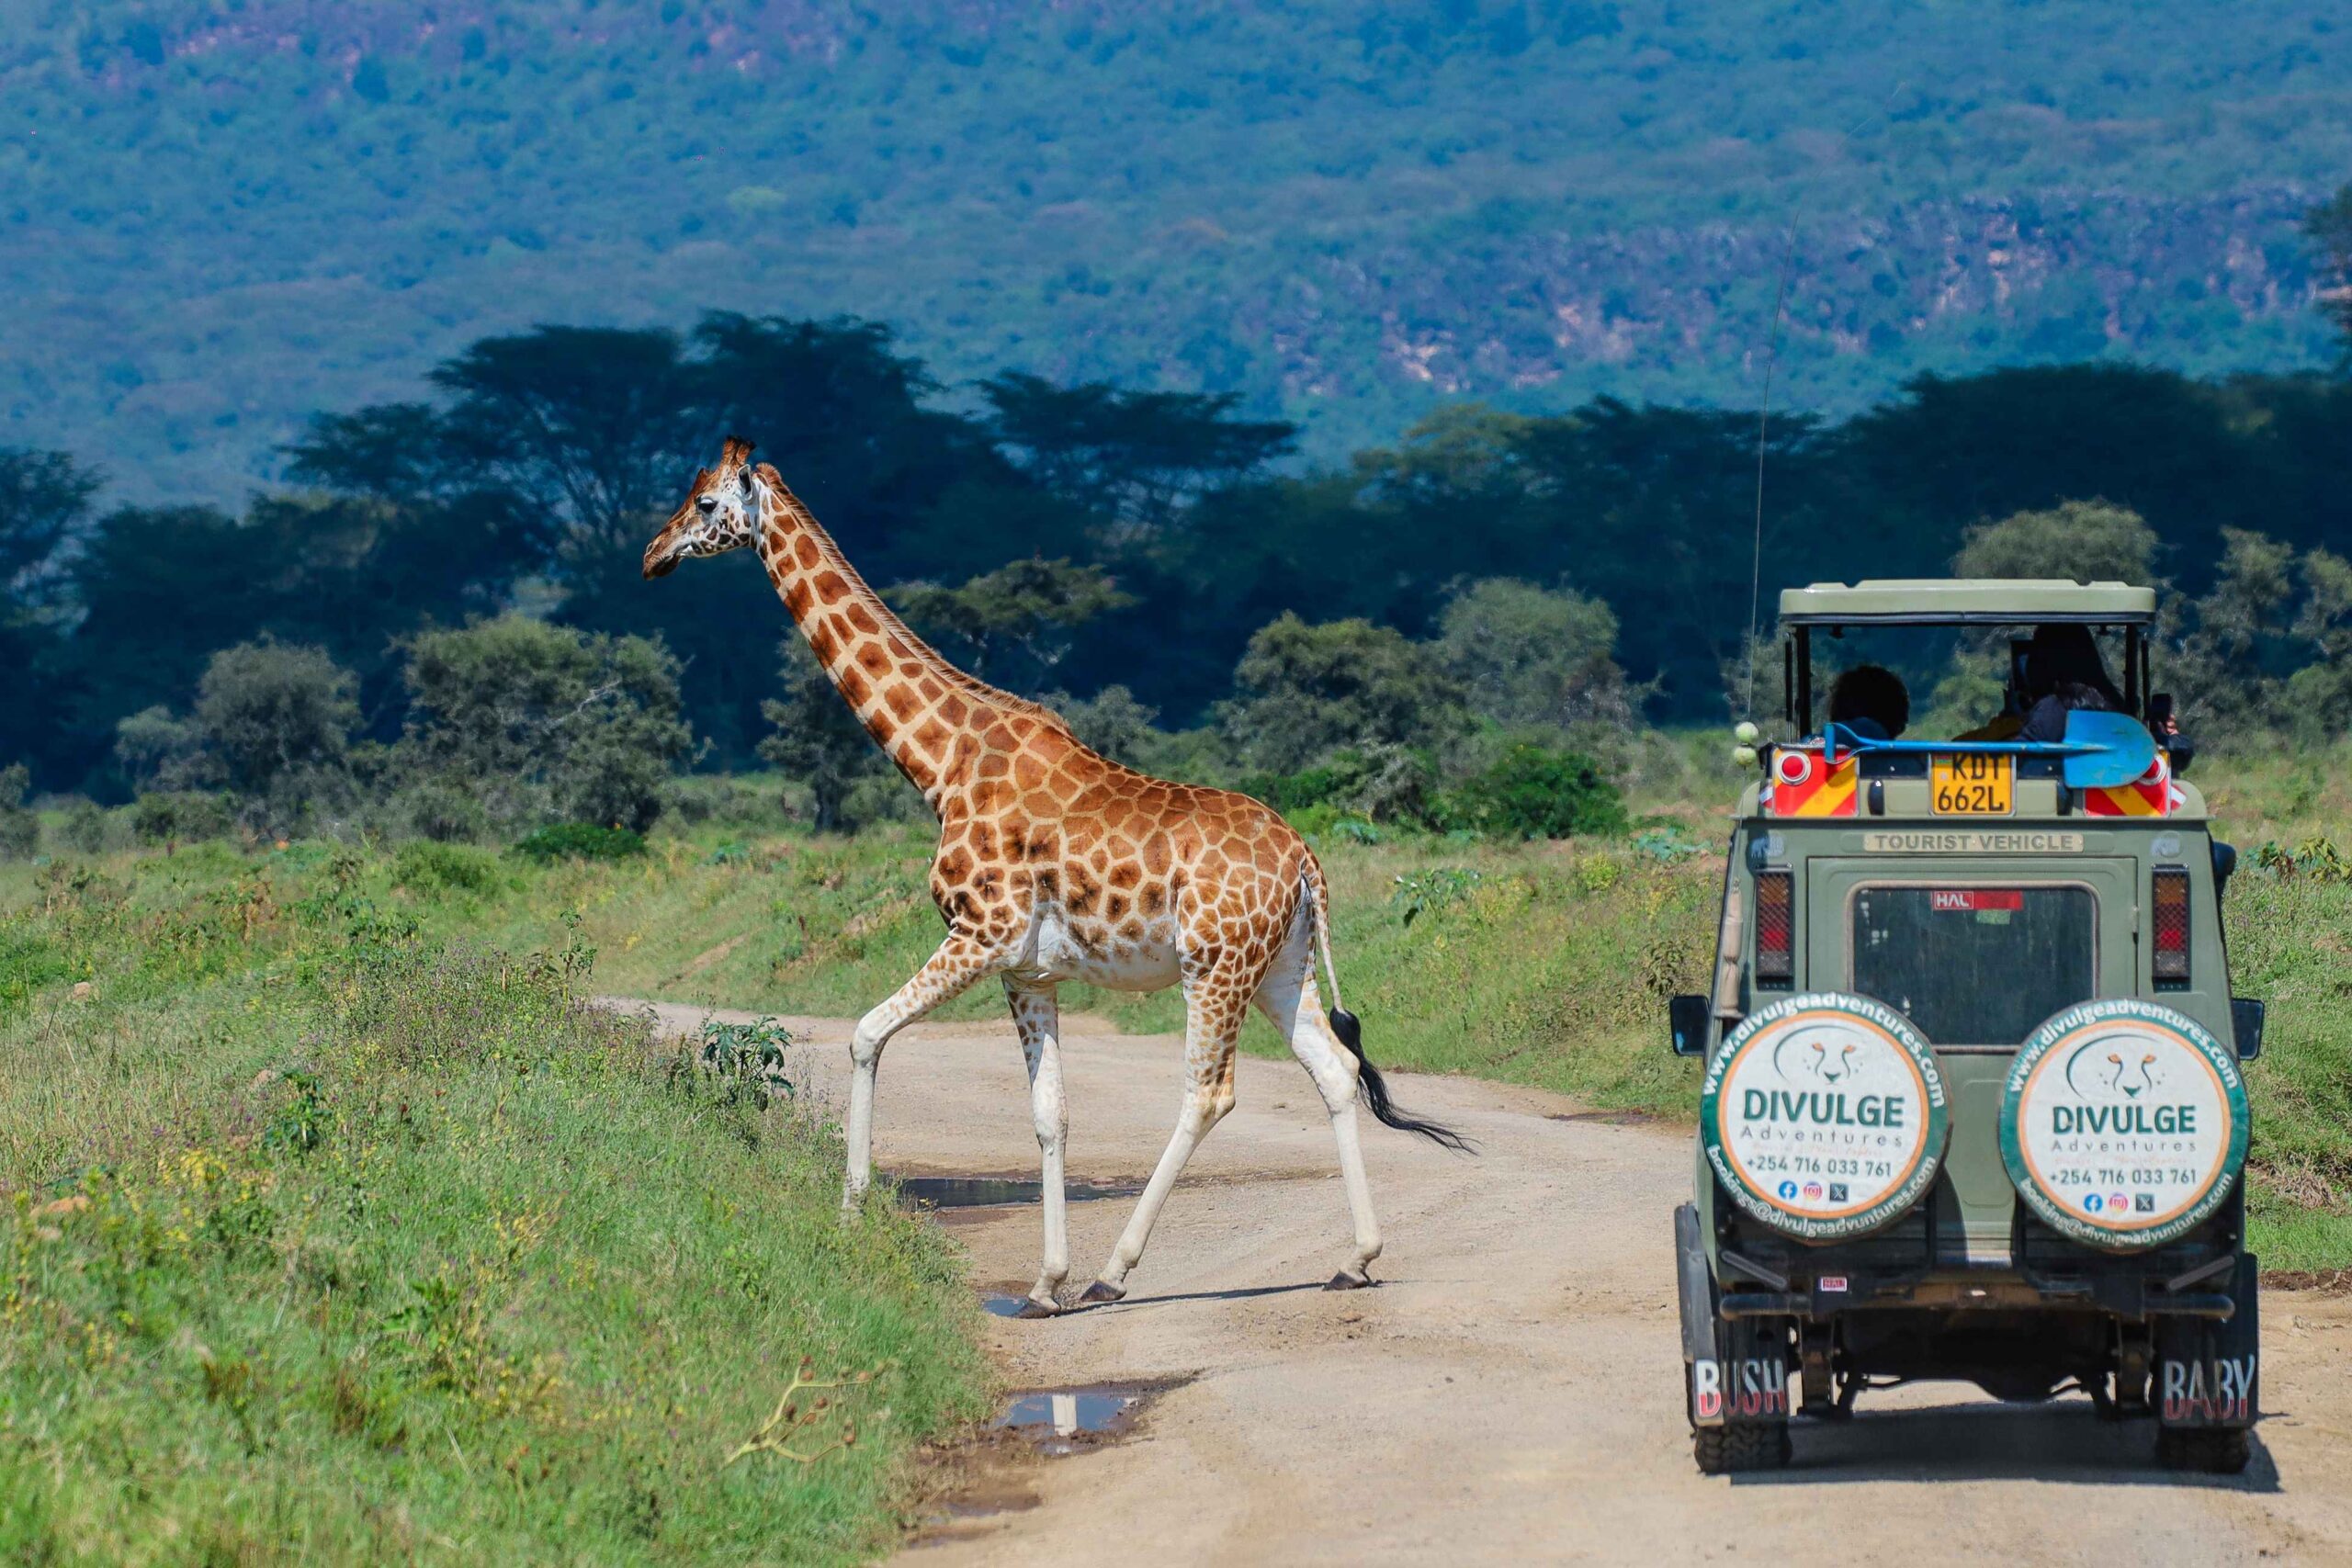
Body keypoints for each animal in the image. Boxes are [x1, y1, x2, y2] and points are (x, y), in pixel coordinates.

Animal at [642, 437, 1468, 1315]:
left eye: (704, 503)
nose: (652, 555)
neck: (940, 762)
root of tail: (1305, 859)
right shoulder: (1027, 969)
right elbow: (1050, 1116)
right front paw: (1043, 1283)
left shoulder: (980, 933)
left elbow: (865, 1035)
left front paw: (850, 1215)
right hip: (1281, 966)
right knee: (1335, 1071)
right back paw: (1357, 1256)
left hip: (1214, 966)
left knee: (1208, 1092)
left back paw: (1117, 1271)